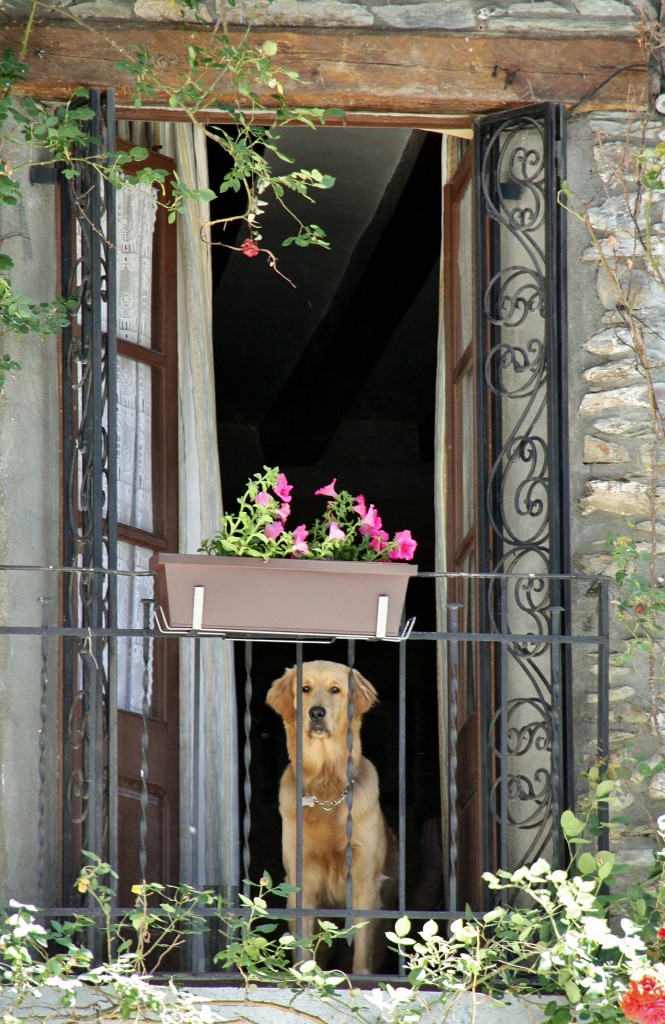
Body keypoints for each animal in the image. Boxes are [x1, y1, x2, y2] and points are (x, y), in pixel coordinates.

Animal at [262, 659, 391, 970]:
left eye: (335, 690)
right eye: (305, 689)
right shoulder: (302, 878)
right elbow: (303, 943)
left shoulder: (363, 878)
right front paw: (303, 973)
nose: (316, 713)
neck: (326, 790)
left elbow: (362, 946)